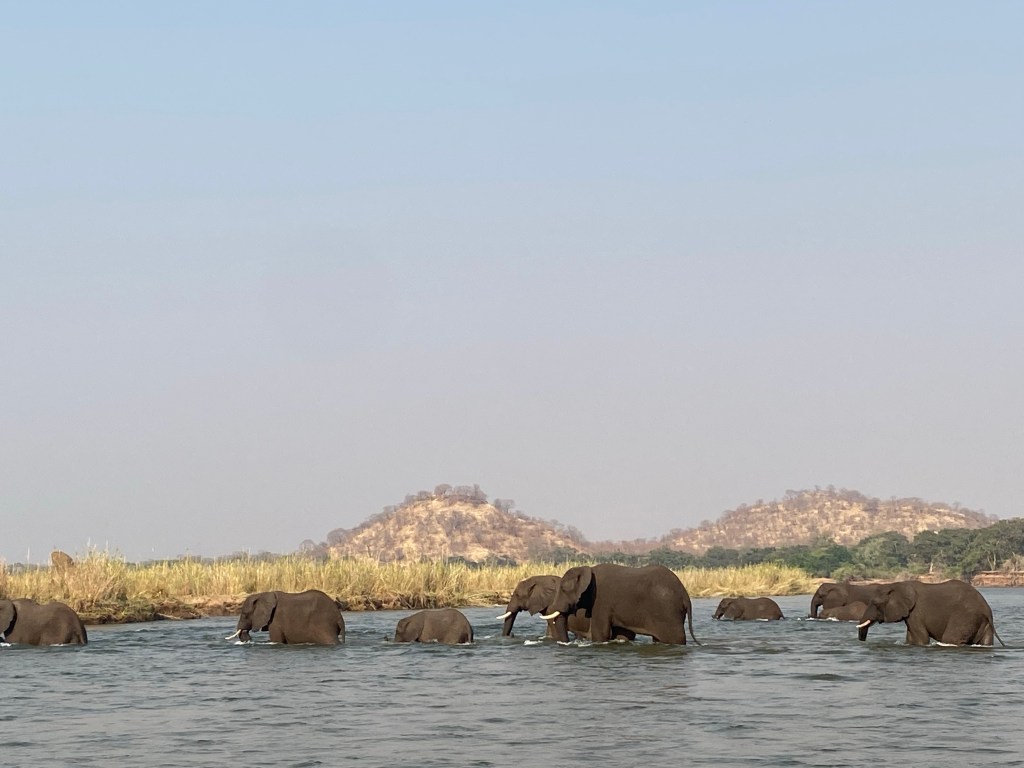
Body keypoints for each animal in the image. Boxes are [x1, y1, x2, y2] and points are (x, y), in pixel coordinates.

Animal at [543, 564, 699, 645]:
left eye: (564, 589)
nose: (567, 643)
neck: (588, 569)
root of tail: (685, 595)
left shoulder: (601, 601)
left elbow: (601, 633)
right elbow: (620, 634)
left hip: (668, 612)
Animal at [857, 579, 1005, 646]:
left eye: (875, 604)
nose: (862, 643)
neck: (897, 584)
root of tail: (986, 609)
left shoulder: (916, 612)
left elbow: (920, 638)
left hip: (966, 616)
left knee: (950, 639)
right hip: (982, 622)